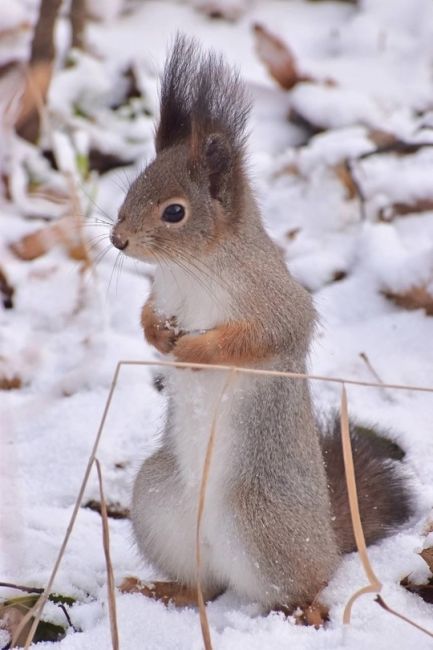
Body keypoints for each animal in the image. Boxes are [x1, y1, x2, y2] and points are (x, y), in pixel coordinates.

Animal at [109, 35, 410, 612]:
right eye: (132, 187)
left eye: (175, 212)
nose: (118, 240)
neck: (193, 269)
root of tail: (326, 537)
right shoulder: (163, 292)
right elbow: (146, 313)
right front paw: (157, 335)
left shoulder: (274, 301)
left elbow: (262, 337)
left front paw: (194, 352)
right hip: (158, 501)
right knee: (205, 585)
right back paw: (161, 589)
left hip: (261, 520)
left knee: (301, 584)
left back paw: (304, 611)